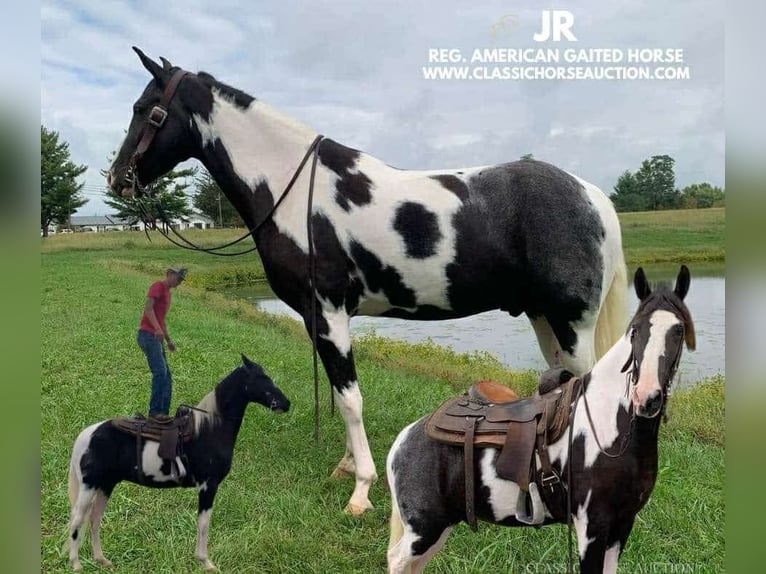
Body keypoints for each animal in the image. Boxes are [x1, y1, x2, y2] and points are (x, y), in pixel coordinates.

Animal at [64, 356, 288, 572]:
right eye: (262, 378)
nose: (286, 403)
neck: (209, 429)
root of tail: (87, 434)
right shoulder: (208, 486)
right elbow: (204, 523)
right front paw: (206, 562)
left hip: (105, 485)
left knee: (94, 520)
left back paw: (102, 560)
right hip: (89, 486)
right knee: (77, 520)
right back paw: (76, 565)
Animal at [109, 47, 632, 516]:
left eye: (144, 109)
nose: (117, 178)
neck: (293, 192)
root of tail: (592, 197)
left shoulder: (330, 314)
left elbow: (351, 399)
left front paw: (361, 489)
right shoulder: (320, 319)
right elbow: (341, 395)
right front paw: (345, 465)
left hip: (570, 325)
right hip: (546, 320)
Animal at [390, 268, 696, 574]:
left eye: (678, 330)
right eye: (635, 331)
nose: (646, 397)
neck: (610, 426)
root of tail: (405, 439)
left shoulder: (622, 525)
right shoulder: (592, 527)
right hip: (425, 530)